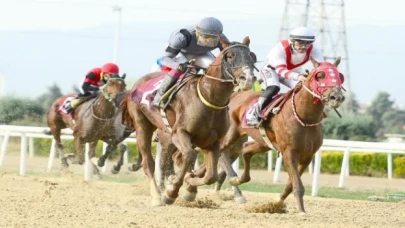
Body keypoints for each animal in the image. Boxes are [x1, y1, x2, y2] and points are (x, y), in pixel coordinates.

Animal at [121, 36, 256, 206]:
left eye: (251, 56)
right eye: (230, 56)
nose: (248, 78)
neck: (208, 97)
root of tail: (137, 84)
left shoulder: (213, 141)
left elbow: (211, 175)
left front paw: (190, 188)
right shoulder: (180, 133)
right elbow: (189, 156)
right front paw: (171, 193)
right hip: (142, 126)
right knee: (150, 163)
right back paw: (157, 196)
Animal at [210, 57, 346, 214]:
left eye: (339, 76)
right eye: (320, 76)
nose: (337, 97)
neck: (305, 117)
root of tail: (234, 95)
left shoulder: (307, 155)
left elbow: (290, 184)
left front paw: (276, 203)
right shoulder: (289, 151)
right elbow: (297, 185)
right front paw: (301, 211)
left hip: (263, 142)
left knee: (246, 149)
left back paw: (235, 180)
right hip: (230, 135)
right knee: (222, 153)